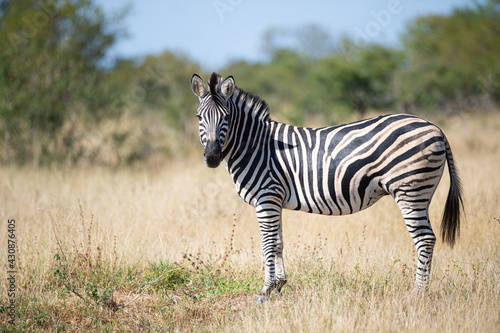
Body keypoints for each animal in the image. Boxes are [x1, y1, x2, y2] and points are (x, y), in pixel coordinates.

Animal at [189, 72, 462, 300]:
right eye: (199, 117)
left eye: (226, 118)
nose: (211, 157)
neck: (256, 146)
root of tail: (436, 127)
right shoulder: (275, 200)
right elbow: (278, 243)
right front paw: (279, 286)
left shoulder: (266, 198)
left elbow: (267, 244)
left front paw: (265, 291)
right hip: (420, 193)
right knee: (427, 238)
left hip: (410, 191)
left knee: (425, 239)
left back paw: (418, 293)